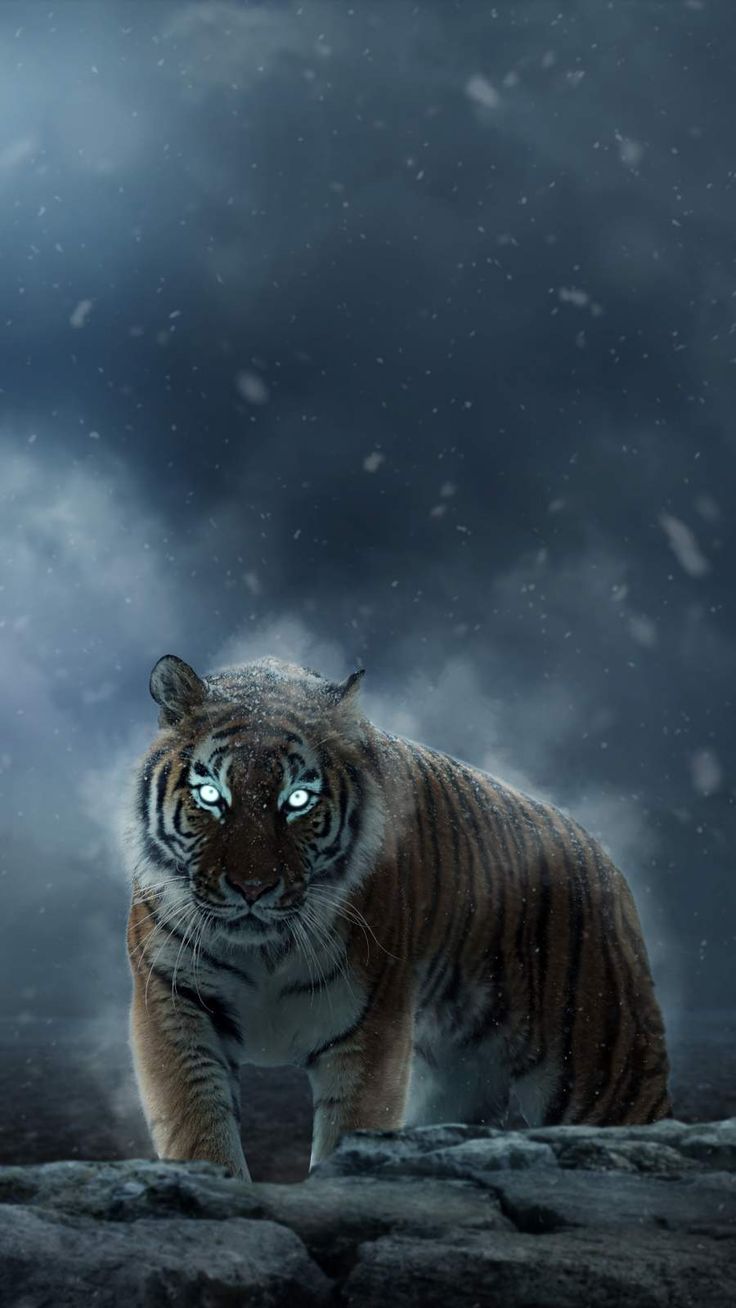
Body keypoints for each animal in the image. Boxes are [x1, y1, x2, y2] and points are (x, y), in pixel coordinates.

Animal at [124, 652, 672, 1180]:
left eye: (297, 800)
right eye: (211, 795)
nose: (252, 888)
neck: (265, 950)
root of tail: (598, 851)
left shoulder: (370, 1027)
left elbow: (352, 1130)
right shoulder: (175, 1004)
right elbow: (198, 1129)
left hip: (604, 1068)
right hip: (460, 1078)